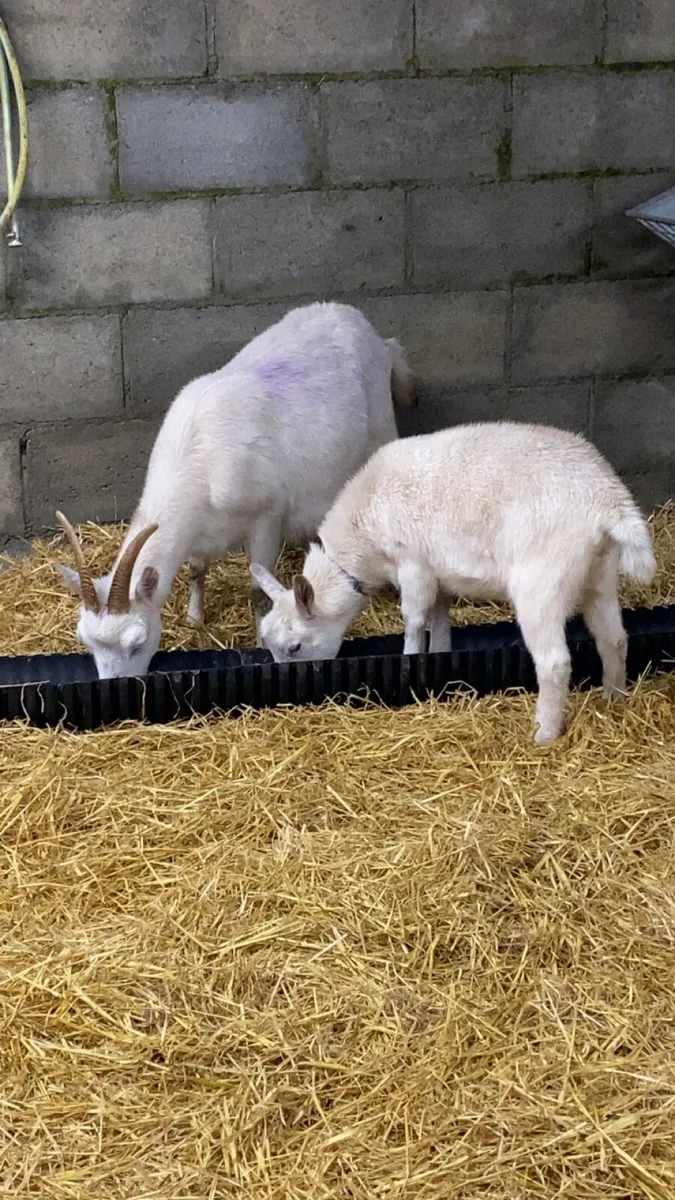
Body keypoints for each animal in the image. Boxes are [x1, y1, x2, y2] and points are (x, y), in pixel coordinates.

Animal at [55, 301, 412, 679]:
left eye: (136, 643)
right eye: (86, 641)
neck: (199, 459)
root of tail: (376, 337)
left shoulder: (267, 517)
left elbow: (257, 590)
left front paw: (258, 641)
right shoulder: (198, 530)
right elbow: (196, 569)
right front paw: (194, 617)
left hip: (382, 425)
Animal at [251, 421, 655, 744]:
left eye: (294, 648)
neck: (361, 538)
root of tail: (609, 500)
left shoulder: (412, 563)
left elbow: (414, 619)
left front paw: (409, 661)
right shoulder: (437, 573)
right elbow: (439, 618)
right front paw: (440, 657)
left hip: (542, 580)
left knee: (555, 663)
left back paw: (544, 733)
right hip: (599, 573)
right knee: (614, 639)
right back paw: (613, 699)